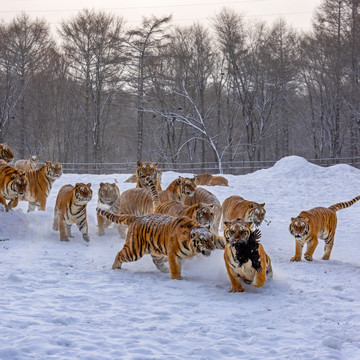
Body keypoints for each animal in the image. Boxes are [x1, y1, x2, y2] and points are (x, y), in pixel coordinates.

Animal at [95, 208, 225, 282]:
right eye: (203, 240)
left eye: (211, 239)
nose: (213, 248)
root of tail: (136, 217)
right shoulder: (173, 254)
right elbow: (175, 268)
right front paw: (178, 279)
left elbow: (221, 241)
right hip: (134, 251)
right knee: (120, 254)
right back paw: (115, 267)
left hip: (156, 252)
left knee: (157, 263)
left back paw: (165, 270)